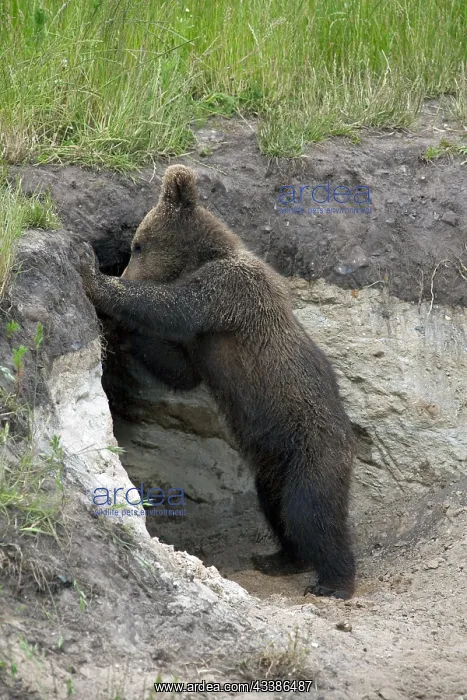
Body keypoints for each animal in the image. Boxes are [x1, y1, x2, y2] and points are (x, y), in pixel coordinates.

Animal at [78, 164, 357, 599]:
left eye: (138, 245)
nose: (122, 268)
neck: (203, 257)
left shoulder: (226, 294)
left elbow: (172, 306)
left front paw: (93, 276)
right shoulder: (198, 345)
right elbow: (179, 370)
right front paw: (117, 331)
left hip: (312, 449)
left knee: (311, 512)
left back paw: (334, 581)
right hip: (273, 462)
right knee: (276, 507)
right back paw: (280, 558)